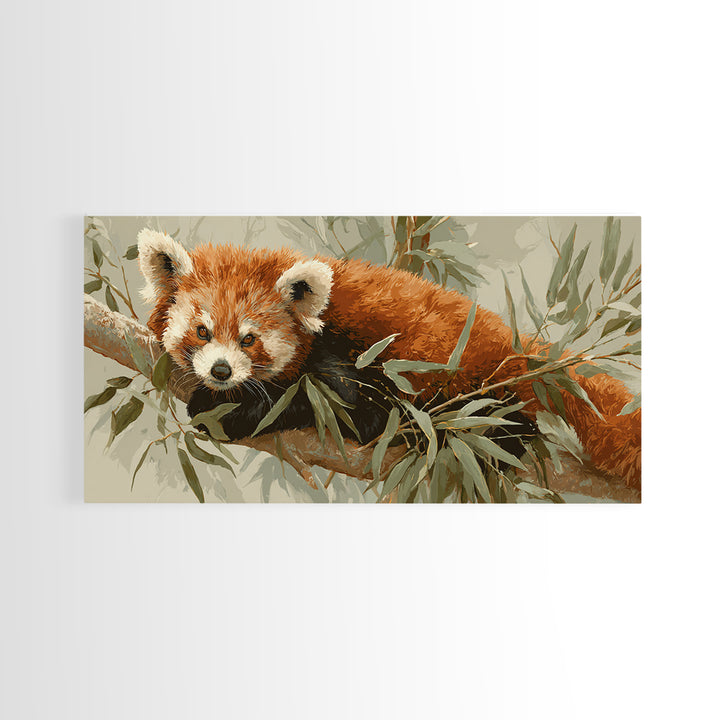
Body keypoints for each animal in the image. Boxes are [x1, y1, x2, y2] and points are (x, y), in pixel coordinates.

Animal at [137, 228, 641, 488]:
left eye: (248, 339)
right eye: (202, 331)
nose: (220, 371)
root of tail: (519, 345)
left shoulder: (348, 355)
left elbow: (342, 406)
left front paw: (223, 411)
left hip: (475, 382)